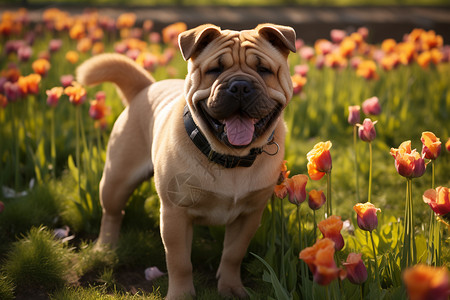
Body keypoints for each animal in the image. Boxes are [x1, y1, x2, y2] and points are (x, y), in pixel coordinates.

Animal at [76, 22, 298, 298]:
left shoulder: (249, 215)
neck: (229, 158)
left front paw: (230, 288)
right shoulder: (175, 214)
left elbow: (233, 254)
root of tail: (145, 87)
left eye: (263, 70)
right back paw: (105, 247)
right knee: (112, 212)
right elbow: (179, 261)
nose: (239, 85)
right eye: (215, 69)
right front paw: (181, 293)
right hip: (116, 179)